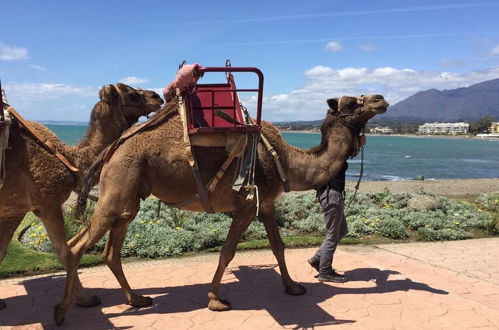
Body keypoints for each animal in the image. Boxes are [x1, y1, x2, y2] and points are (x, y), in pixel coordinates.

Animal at [0, 82, 163, 310]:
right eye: (131, 94)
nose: (157, 96)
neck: (69, 157)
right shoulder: (47, 200)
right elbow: (65, 251)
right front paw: (86, 299)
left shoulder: (15, 209)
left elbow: (2, 251)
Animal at [55, 93, 390, 324]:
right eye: (352, 101)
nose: (381, 99)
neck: (284, 160)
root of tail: (112, 148)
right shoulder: (246, 204)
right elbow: (227, 251)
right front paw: (216, 299)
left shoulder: (266, 204)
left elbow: (278, 246)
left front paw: (293, 287)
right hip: (121, 182)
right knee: (78, 245)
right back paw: (63, 311)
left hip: (130, 195)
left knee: (107, 250)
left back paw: (136, 299)